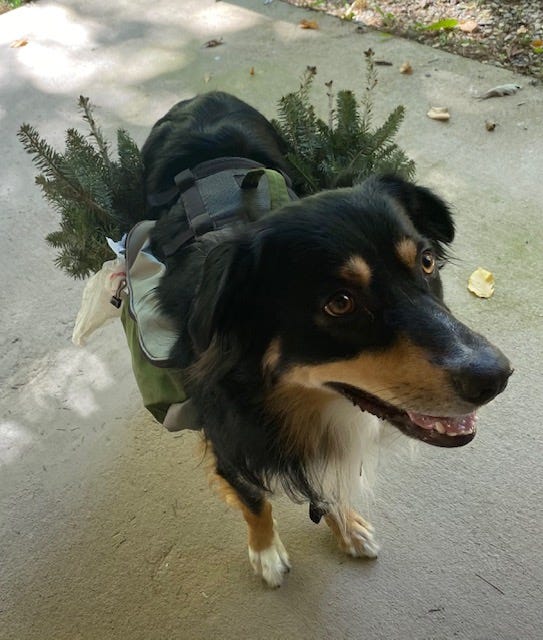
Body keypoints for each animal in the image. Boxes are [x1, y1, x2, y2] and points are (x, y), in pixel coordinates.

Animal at [134, 92, 512, 588]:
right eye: (340, 303)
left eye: (427, 261)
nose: (498, 377)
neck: (280, 399)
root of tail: (203, 96)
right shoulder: (227, 440)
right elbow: (255, 501)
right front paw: (266, 552)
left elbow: (327, 488)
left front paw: (346, 528)